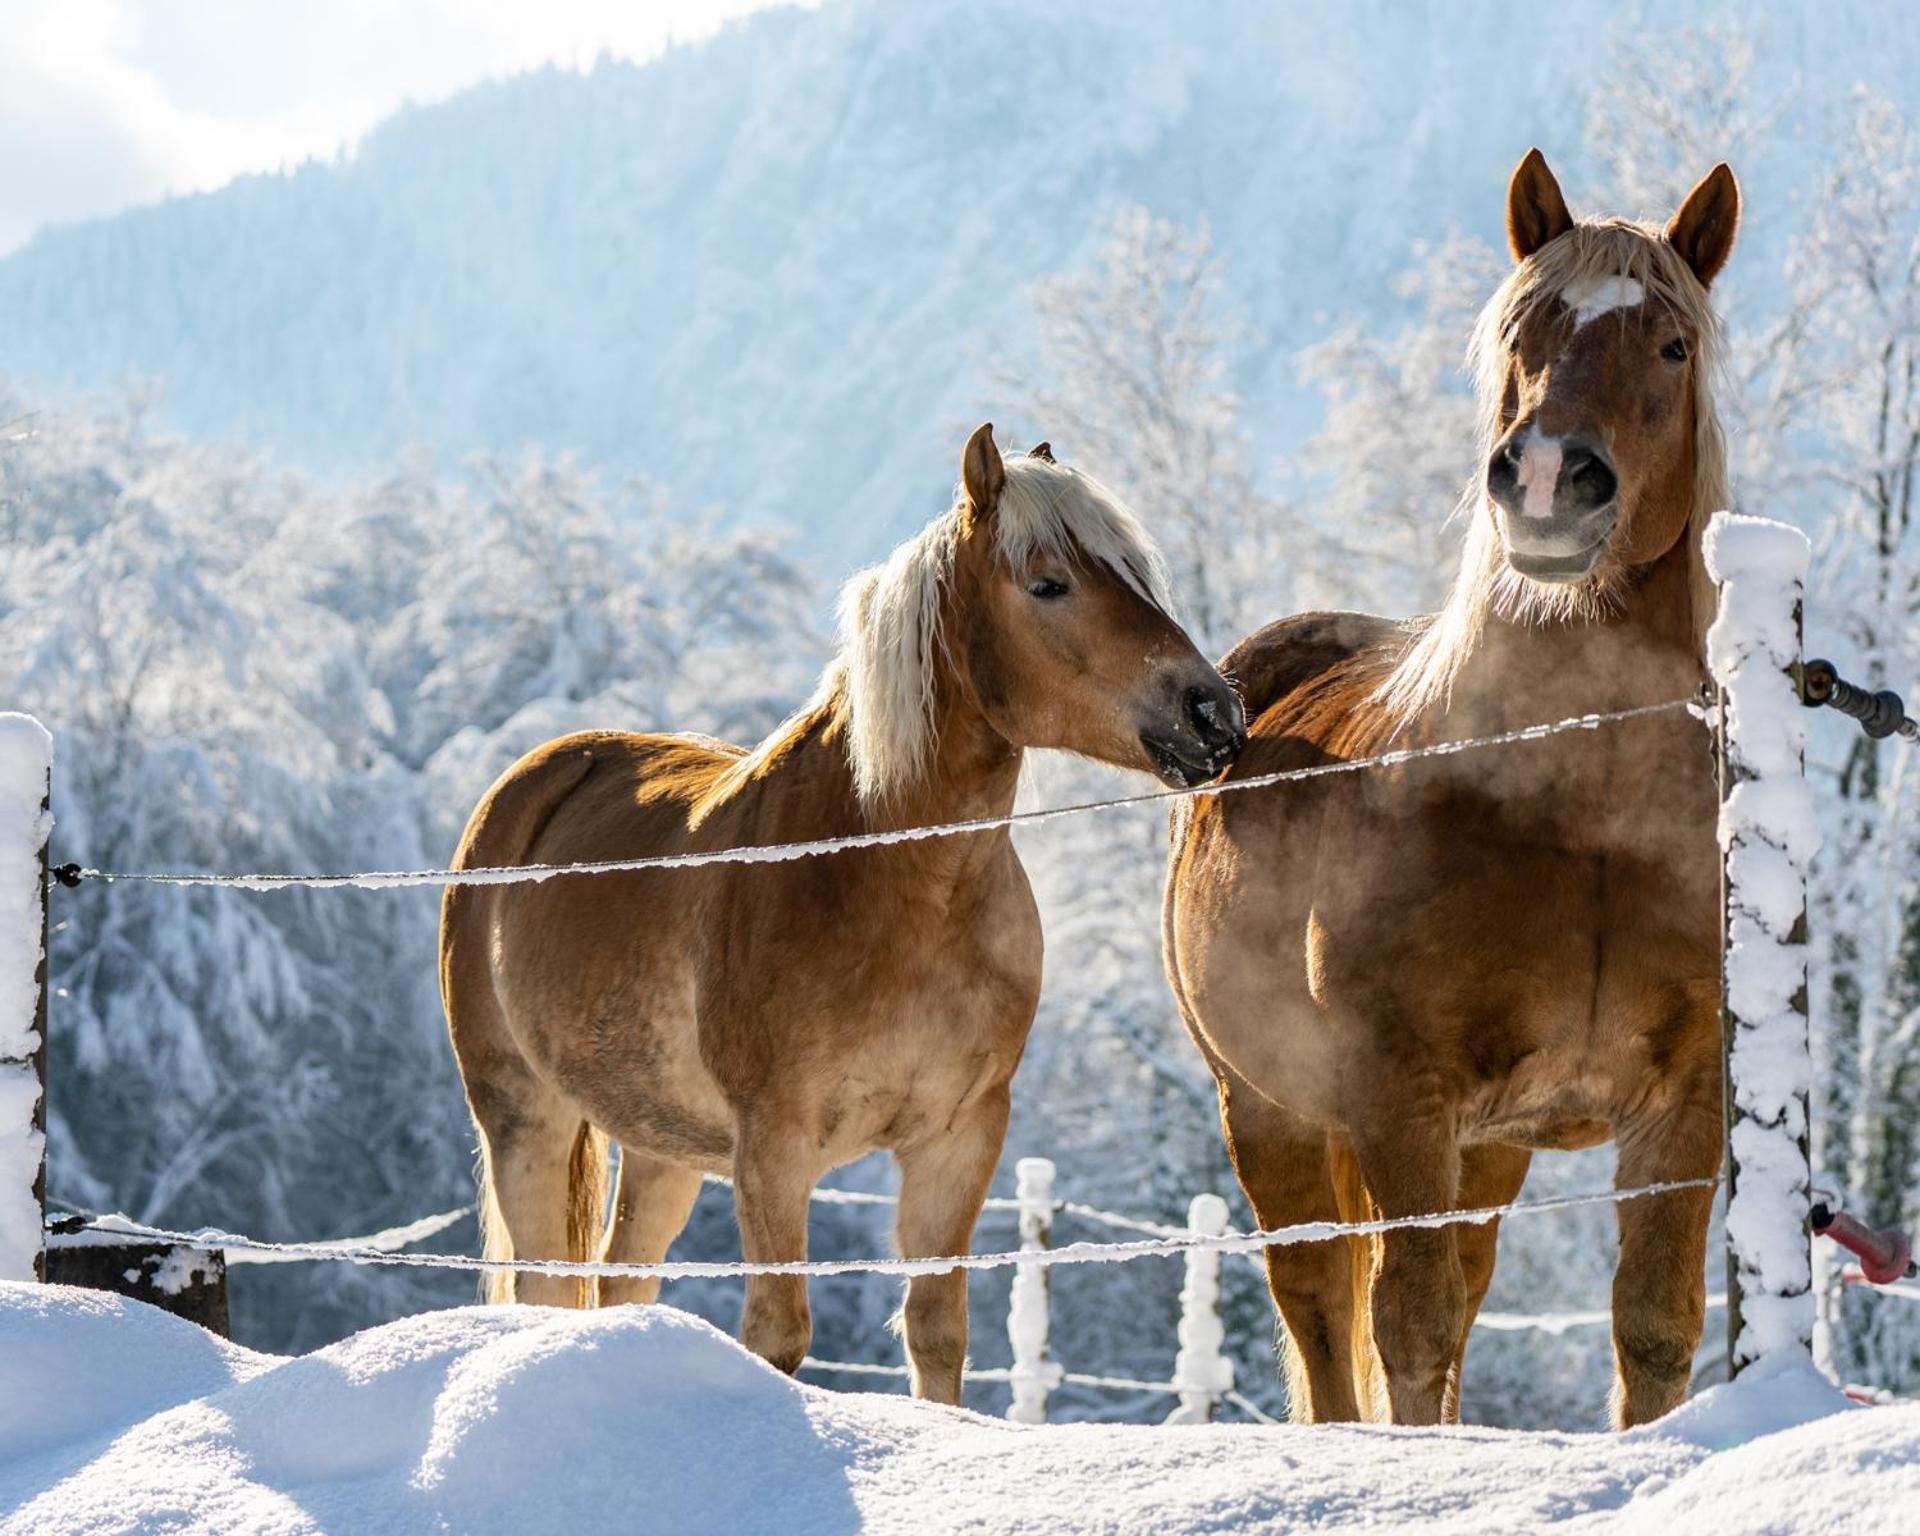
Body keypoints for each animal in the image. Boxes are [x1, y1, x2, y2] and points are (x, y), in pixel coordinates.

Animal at [441, 422, 1244, 1405]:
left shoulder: (958, 1138)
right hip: (522, 1113)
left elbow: (937, 1333)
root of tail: (533, 780)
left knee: (621, 1280)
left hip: (662, 1145)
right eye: (1049, 583)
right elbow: (779, 1336)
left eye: (1135, 572)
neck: (893, 883)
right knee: (545, 1287)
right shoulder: (774, 1150)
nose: (1213, 711)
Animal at [1167, 152, 1743, 1428]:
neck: (1582, 816)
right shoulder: (1402, 1099)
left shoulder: (1685, 1102)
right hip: (1271, 1112)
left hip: (1489, 1147)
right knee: (1323, 1314)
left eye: (1672, 345)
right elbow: (1410, 1332)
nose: (1548, 479)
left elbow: (1656, 1329)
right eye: (1521, 334)